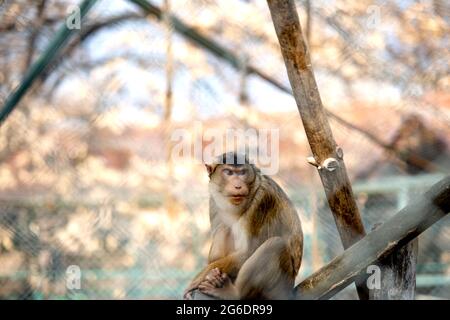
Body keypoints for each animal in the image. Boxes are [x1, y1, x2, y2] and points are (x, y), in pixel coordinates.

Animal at [183, 152, 302, 300]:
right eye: (229, 172)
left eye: (242, 173)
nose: (238, 186)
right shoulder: (214, 200)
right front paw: (211, 275)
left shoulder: (262, 199)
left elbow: (248, 251)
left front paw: (196, 280)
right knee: (224, 228)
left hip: (280, 286)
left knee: (275, 245)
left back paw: (234, 293)